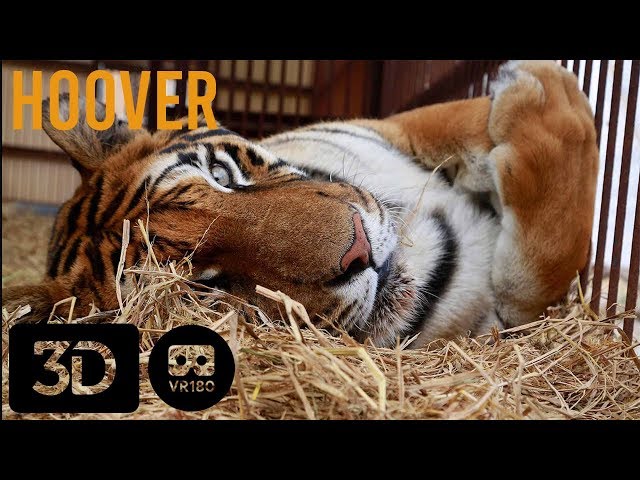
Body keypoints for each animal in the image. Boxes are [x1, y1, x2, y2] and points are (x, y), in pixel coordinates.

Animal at [2, 61, 599, 348]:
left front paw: (541, 87)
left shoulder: (395, 128)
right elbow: (532, 286)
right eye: (204, 287)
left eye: (222, 174)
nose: (359, 250)